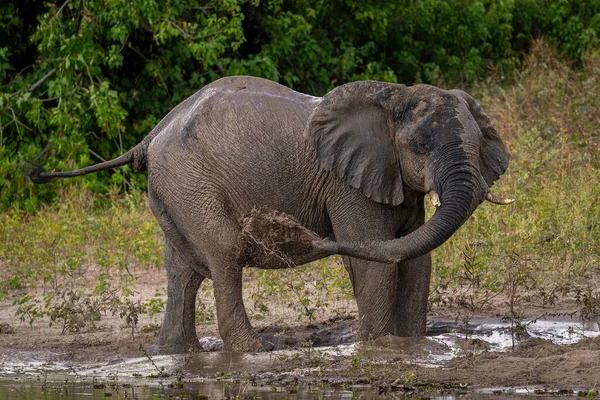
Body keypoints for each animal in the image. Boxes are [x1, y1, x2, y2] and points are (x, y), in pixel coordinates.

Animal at [30, 75, 512, 354]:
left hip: (173, 188)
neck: (395, 97)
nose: (278, 226)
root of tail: (151, 135)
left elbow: (415, 259)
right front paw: (373, 347)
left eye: (476, 143)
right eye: (418, 147)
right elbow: (377, 258)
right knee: (224, 250)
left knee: (183, 269)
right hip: (190, 180)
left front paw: (409, 345)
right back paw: (254, 351)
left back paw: (178, 353)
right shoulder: (348, 183)